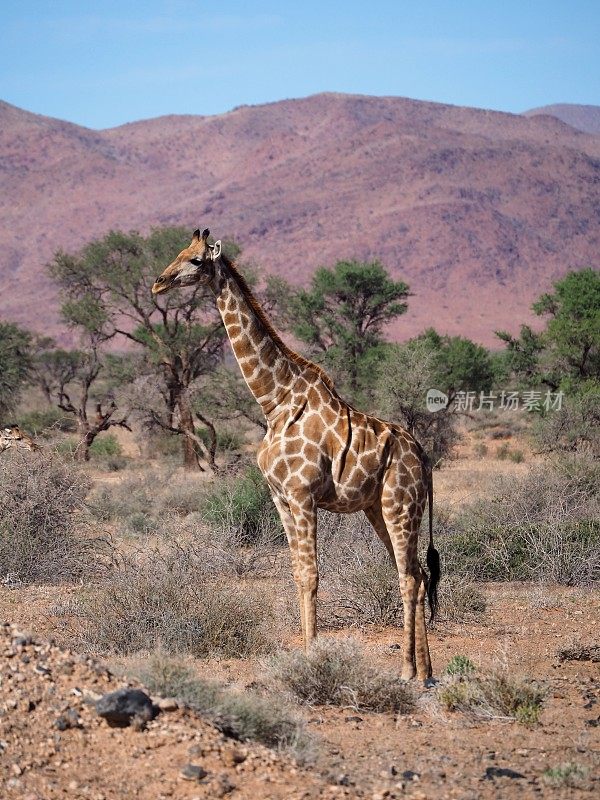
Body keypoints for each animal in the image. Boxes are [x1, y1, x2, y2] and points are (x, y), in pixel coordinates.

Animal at [152, 228, 438, 680]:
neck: (274, 400)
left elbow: (311, 575)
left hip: (400, 504)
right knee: (417, 573)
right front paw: (306, 653)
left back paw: (408, 671)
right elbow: (297, 574)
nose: (158, 283)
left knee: (410, 576)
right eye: (179, 252)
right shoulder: (280, 498)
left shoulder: (303, 495)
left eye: (196, 260)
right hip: (377, 507)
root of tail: (424, 459)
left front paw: (312, 658)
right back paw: (426, 673)